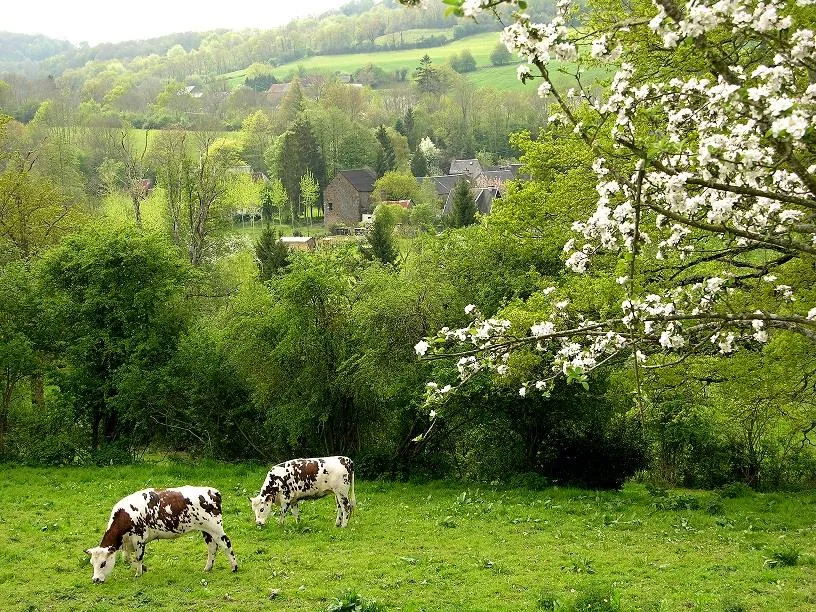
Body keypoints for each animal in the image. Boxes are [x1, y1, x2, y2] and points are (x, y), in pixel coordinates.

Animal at [83, 488, 236, 584]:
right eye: (91, 563)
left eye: (103, 563)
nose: (95, 580)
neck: (125, 515)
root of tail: (213, 491)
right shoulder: (126, 543)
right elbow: (126, 558)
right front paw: (143, 569)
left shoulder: (139, 539)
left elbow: (139, 557)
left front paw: (139, 573)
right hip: (206, 530)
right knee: (212, 547)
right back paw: (208, 568)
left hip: (216, 528)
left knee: (226, 544)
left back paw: (234, 567)